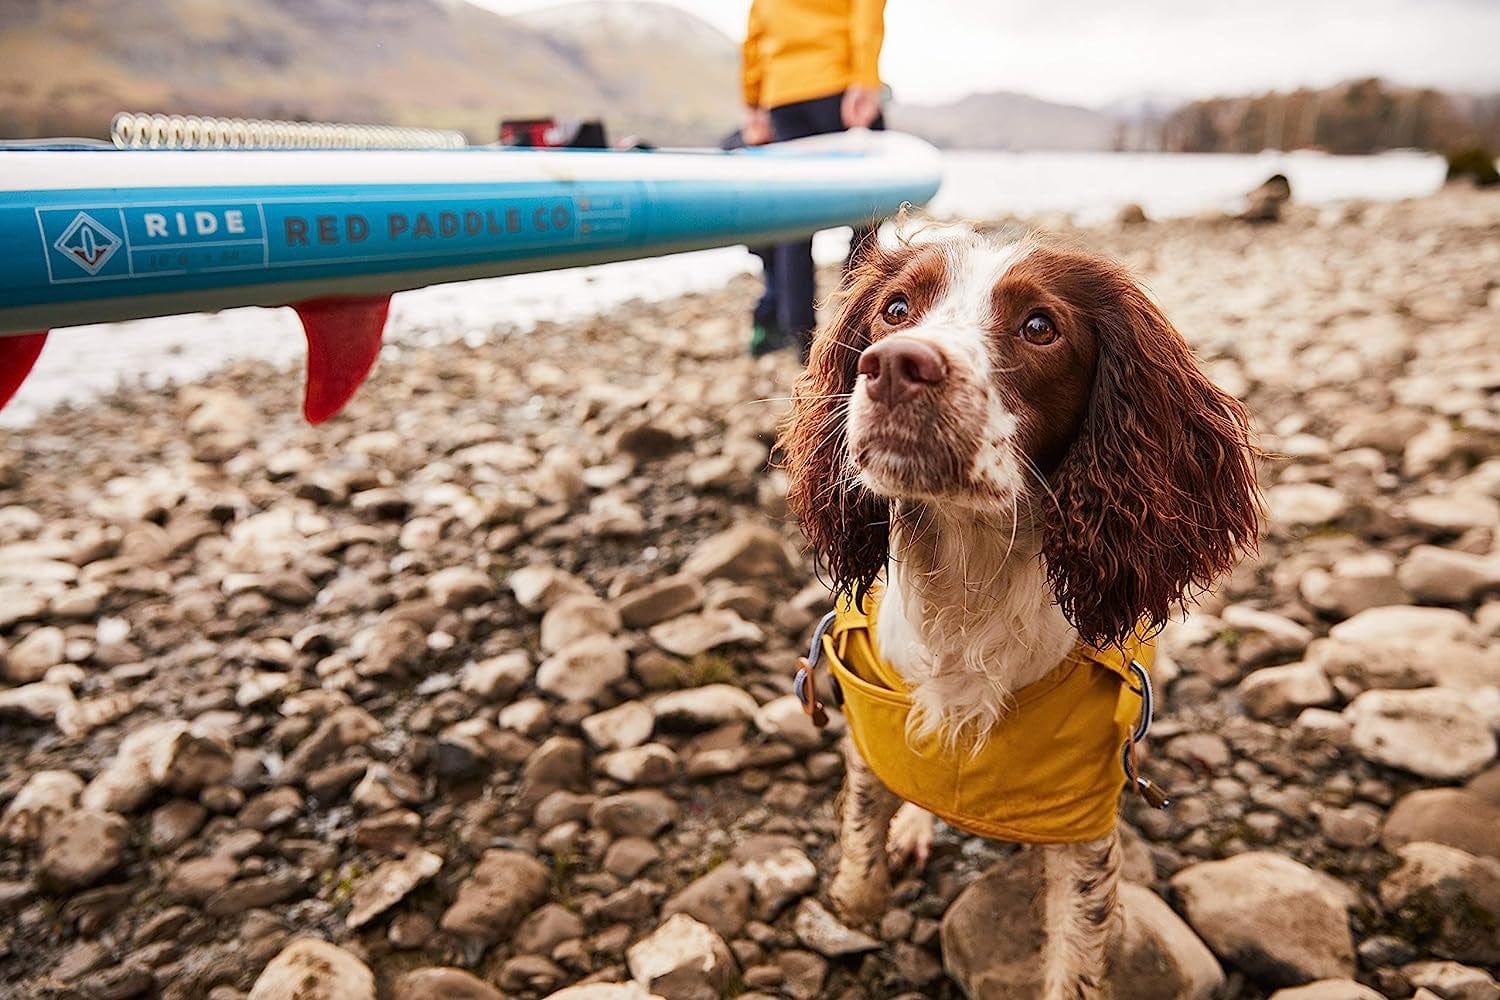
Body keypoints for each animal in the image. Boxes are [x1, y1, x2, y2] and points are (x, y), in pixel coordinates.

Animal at [780, 226, 1260, 1000]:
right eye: (895, 308)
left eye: (1040, 326)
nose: (895, 365)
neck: (968, 584)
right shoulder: (871, 731)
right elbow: (860, 866)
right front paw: (874, 869)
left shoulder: (1084, 829)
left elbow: (1076, 960)